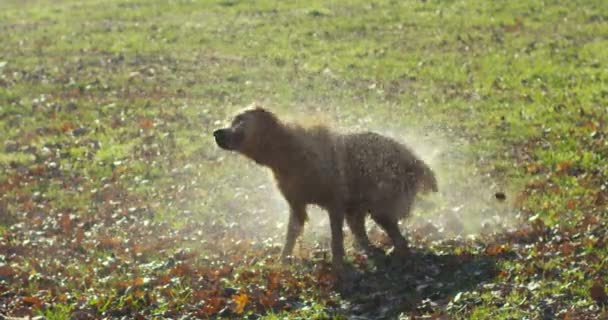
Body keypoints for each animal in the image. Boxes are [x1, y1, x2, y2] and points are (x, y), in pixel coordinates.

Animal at [214, 107, 436, 270]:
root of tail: (415, 159)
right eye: (232, 120)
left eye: (240, 121)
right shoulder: (296, 204)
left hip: (379, 205)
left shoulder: (334, 203)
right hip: (359, 207)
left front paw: (338, 266)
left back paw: (395, 256)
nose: (216, 132)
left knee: (398, 238)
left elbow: (336, 238)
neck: (287, 154)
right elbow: (291, 235)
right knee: (364, 232)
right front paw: (282, 262)